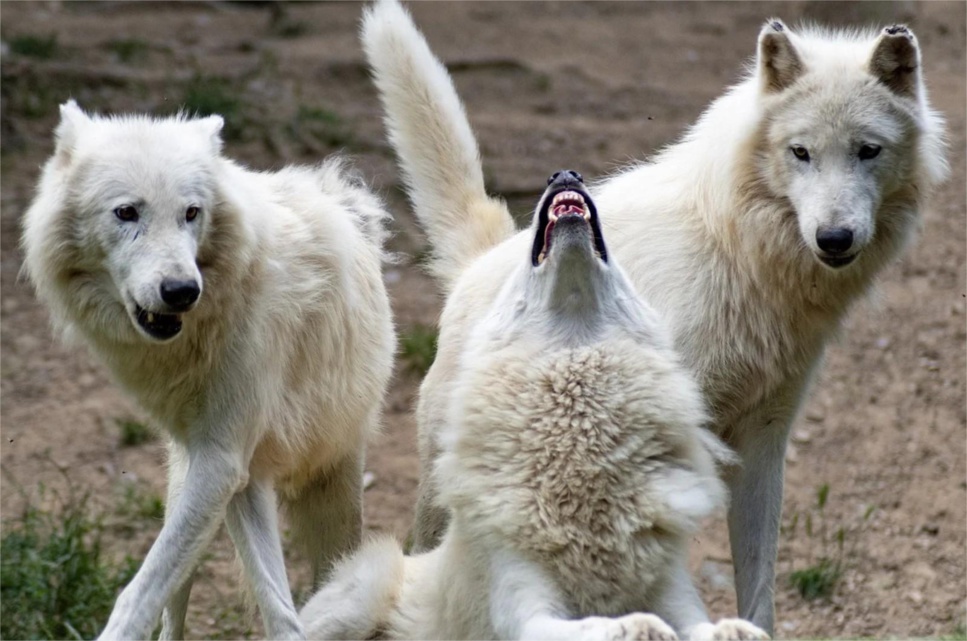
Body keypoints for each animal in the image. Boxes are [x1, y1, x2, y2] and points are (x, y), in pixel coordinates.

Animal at [20, 102, 397, 640]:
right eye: (126, 212)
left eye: (191, 212)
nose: (181, 290)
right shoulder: (225, 464)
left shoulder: (223, 459)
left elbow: (139, 595)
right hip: (205, 478)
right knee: (187, 597)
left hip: (328, 483)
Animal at [300, 170, 767, 641]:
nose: (564, 175)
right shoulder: (525, 607)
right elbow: (594, 625)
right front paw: (636, 625)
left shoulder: (676, 592)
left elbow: (705, 625)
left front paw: (736, 629)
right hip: (365, 594)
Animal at [361, 0, 948, 634]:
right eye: (801, 152)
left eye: (868, 150)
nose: (834, 238)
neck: (738, 254)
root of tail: (486, 257)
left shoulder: (764, 440)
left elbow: (759, 589)